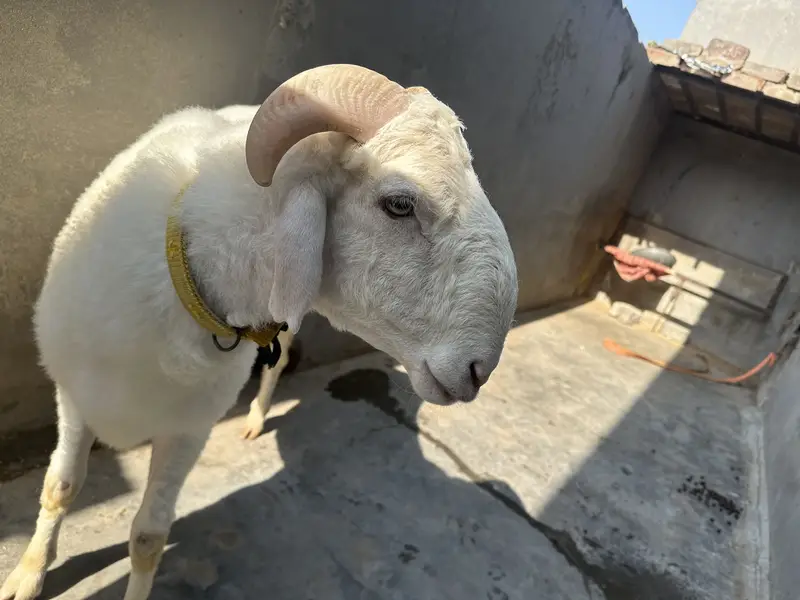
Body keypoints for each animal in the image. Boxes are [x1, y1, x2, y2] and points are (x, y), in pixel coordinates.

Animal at [0, 64, 518, 600]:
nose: (480, 368)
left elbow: (148, 536)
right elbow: (60, 488)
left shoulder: (189, 429)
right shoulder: (73, 397)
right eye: (398, 204)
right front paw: (28, 575)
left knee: (282, 354)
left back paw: (255, 416)